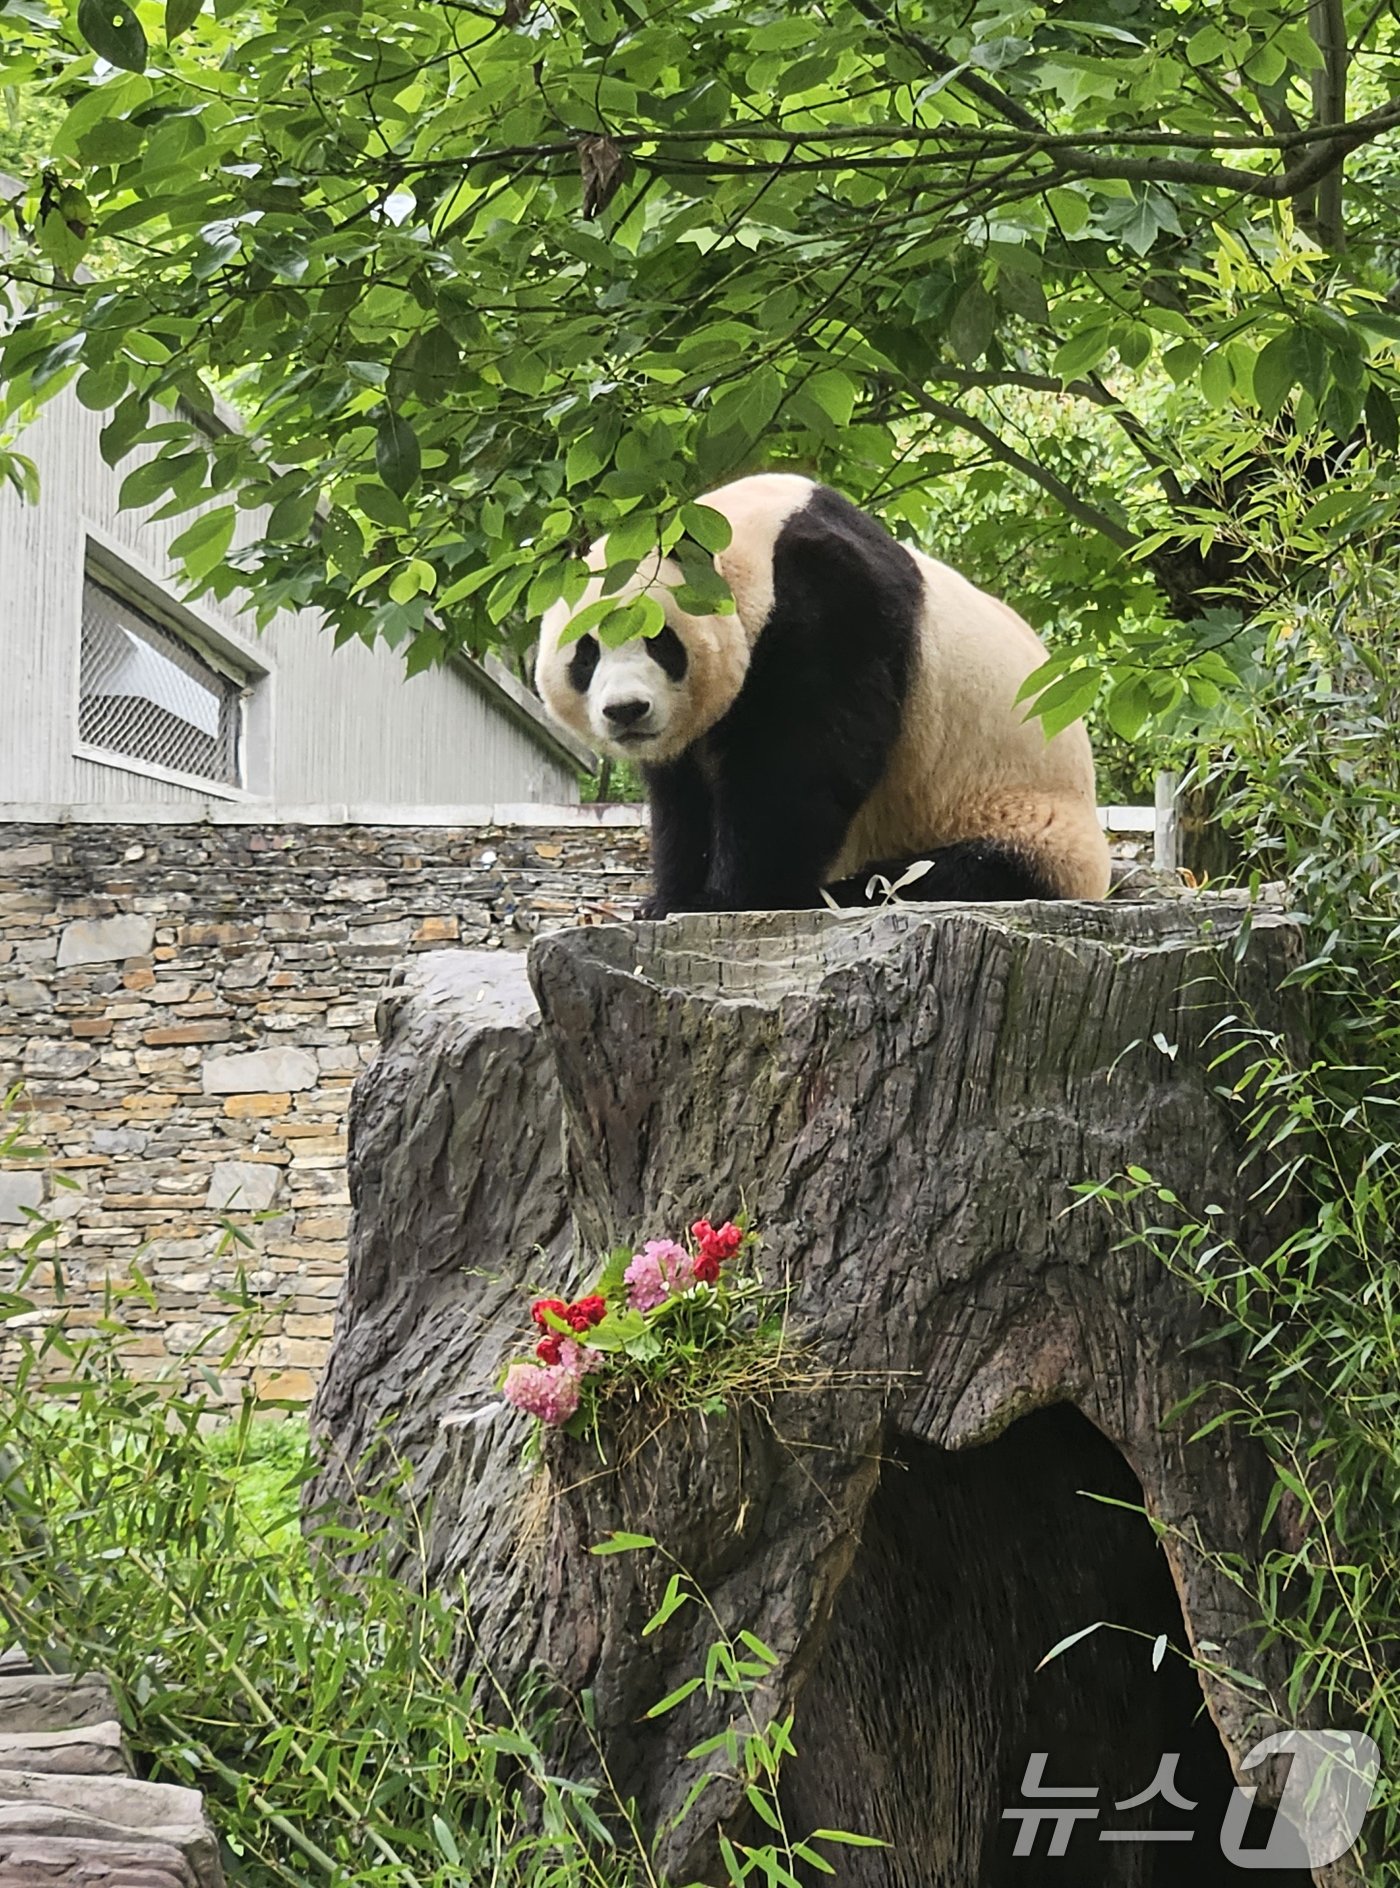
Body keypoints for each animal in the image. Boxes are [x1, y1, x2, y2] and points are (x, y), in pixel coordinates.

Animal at [532, 470, 1109, 913]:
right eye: (586, 654)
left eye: (660, 641)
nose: (626, 711)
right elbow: (683, 796)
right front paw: (668, 898)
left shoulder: (831, 602)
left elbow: (803, 764)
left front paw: (726, 898)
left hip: (1026, 821)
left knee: (954, 873)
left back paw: (841, 893)